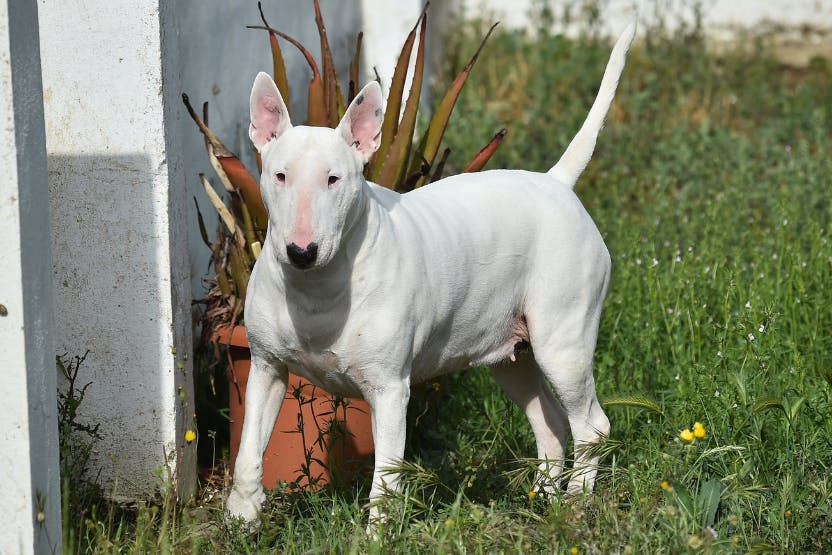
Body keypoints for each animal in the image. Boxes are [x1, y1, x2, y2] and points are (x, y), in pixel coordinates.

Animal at [224, 20, 632, 524]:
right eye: (279, 175)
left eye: (334, 179)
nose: (301, 251)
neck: (317, 287)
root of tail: (557, 183)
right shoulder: (265, 366)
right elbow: (247, 451)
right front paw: (241, 518)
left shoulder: (389, 388)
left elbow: (386, 476)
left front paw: (377, 532)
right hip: (513, 353)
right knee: (551, 423)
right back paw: (543, 500)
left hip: (564, 341)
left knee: (591, 425)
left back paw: (575, 503)